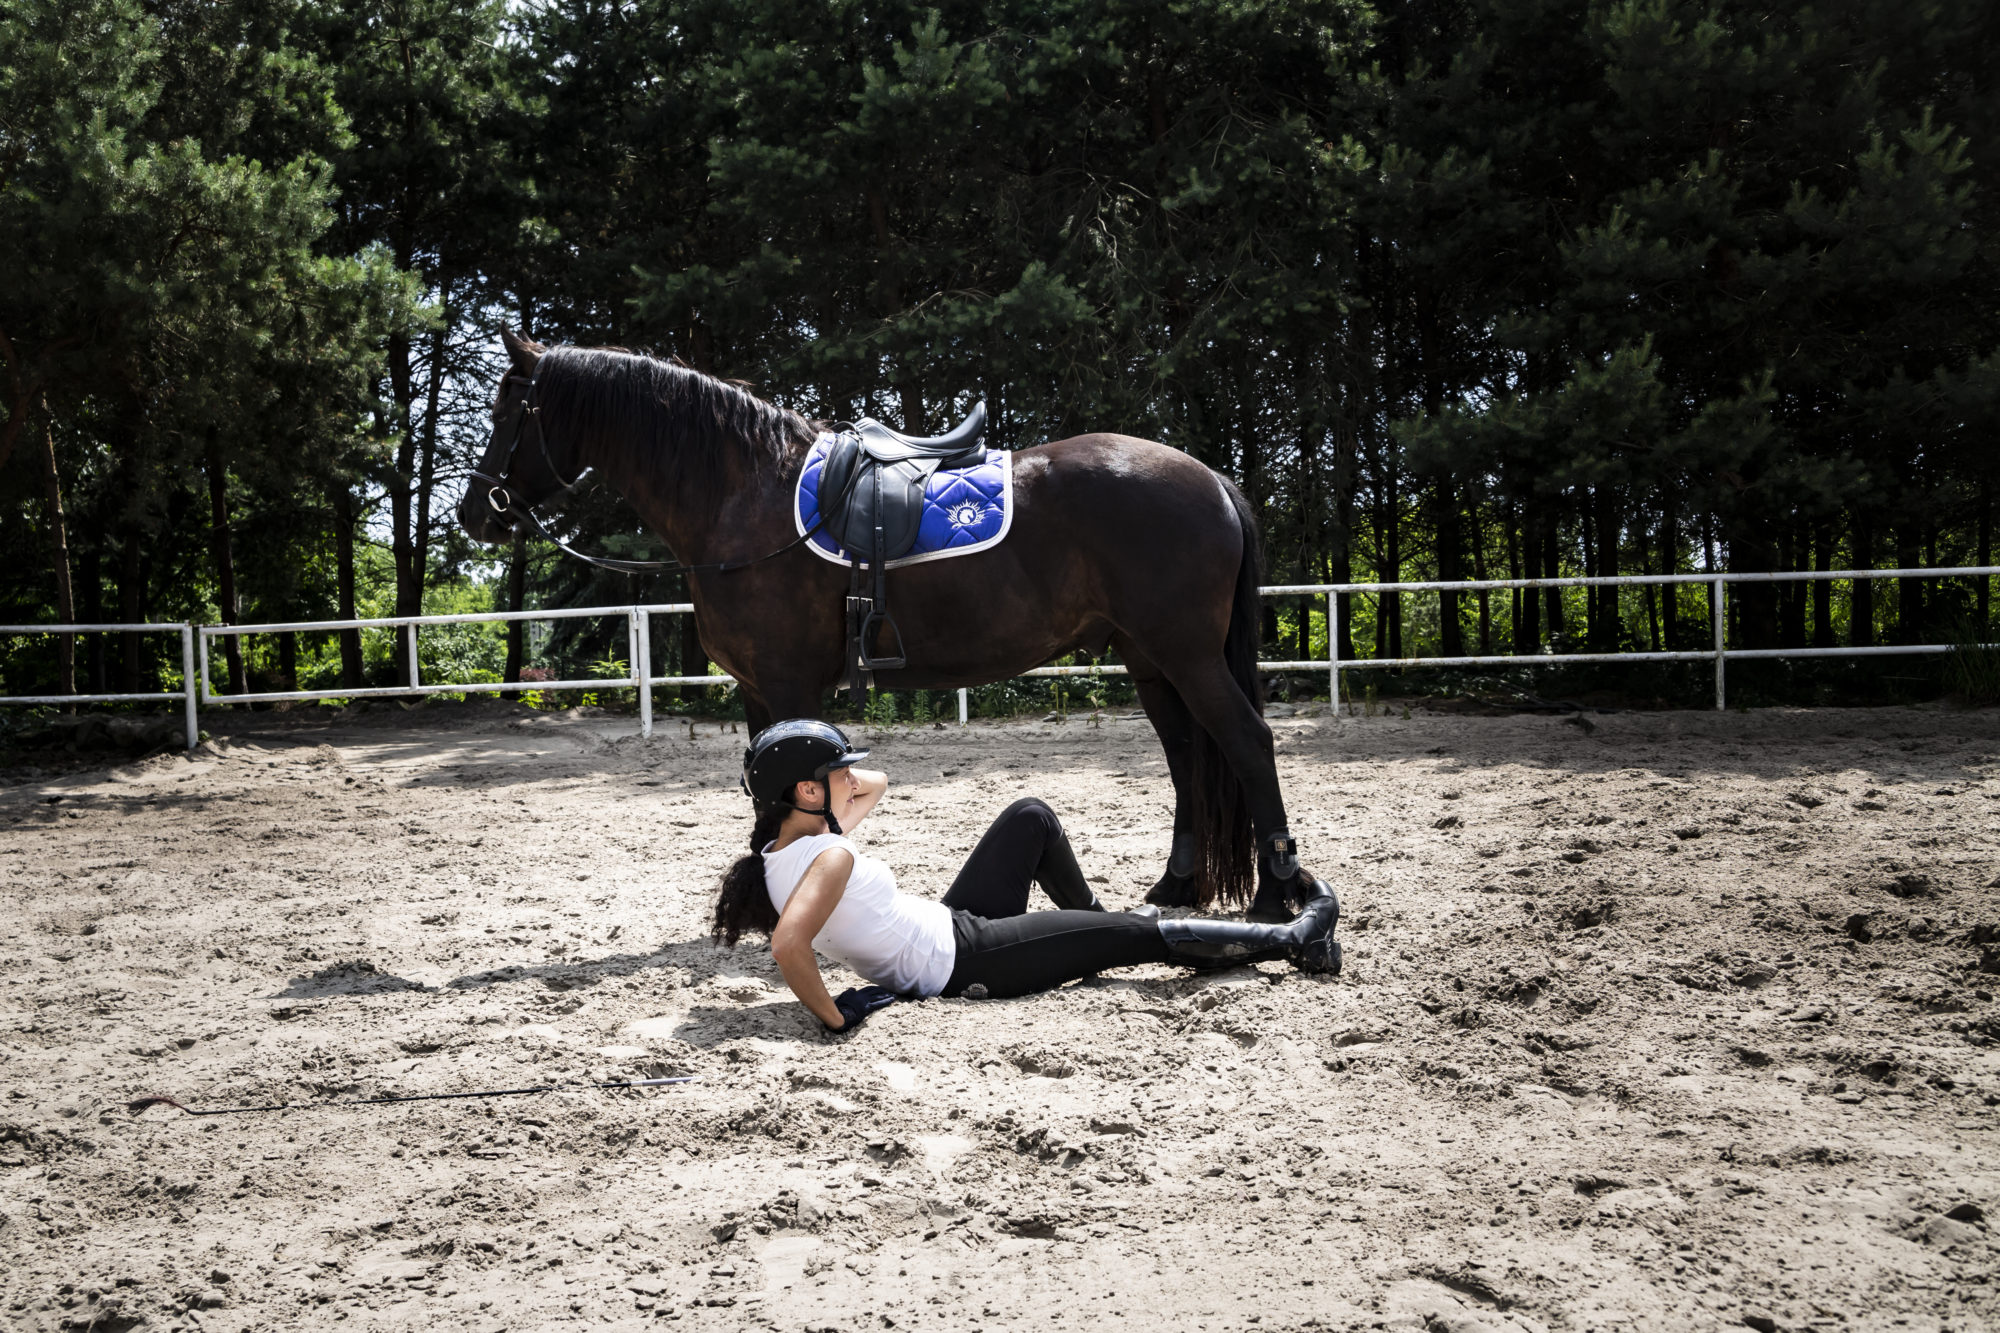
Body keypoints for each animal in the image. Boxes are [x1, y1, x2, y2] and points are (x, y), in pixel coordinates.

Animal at [460, 332, 1320, 920]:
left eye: (509, 408)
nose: (474, 512)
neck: (744, 495)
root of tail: (1211, 478)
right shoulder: (758, 691)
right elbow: (764, 795)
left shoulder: (787, 683)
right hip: (1149, 659)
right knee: (1187, 758)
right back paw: (1176, 885)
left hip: (1186, 653)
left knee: (1246, 742)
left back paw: (1276, 894)